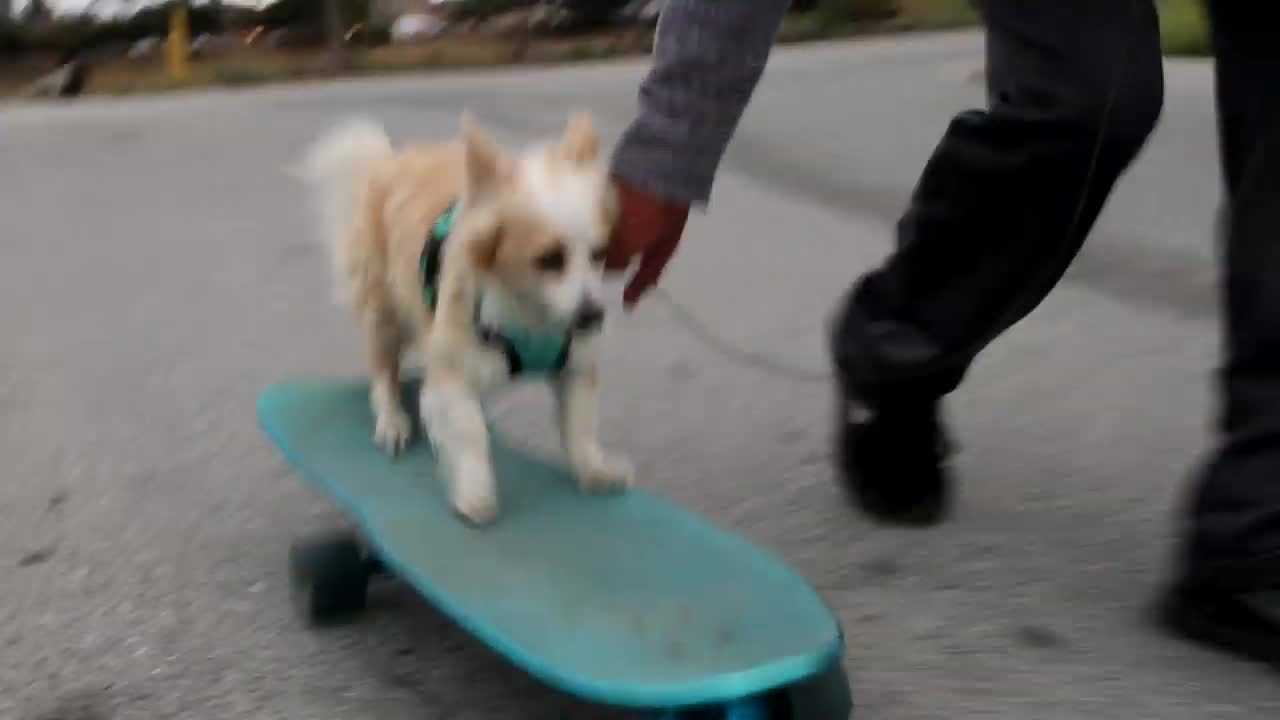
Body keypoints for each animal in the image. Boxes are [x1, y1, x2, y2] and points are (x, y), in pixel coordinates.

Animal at [300, 113, 640, 527]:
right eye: (548, 260)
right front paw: (476, 494)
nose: (592, 316)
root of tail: (390, 162)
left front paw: (593, 469)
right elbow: (470, 432)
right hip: (386, 313)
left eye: (599, 255)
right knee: (382, 369)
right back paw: (392, 420)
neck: (530, 312)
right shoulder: (451, 377)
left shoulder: (574, 366)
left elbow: (580, 426)